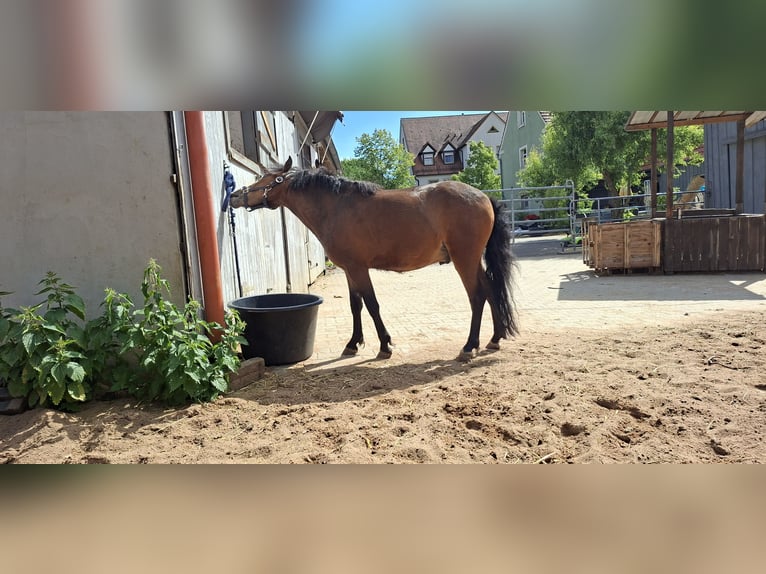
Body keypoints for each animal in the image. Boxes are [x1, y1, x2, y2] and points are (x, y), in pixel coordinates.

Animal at [228, 156, 518, 362]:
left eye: (270, 179)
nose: (234, 196)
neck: (336, 208)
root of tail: (484, 196)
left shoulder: (359, 268)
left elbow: (371, 304)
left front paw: (385, 345)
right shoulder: (349, 270)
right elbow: (355, 305)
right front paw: (353, 344)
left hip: (464, 259)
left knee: (477, 296)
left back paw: (469, 346)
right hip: (473, 260)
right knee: (491, 290)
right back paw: (495, 338)